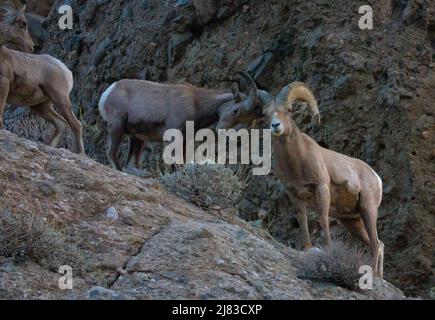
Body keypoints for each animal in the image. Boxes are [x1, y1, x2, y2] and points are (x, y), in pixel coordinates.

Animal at [0, 0, 84, 154]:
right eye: (23, 24)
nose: (31, 46)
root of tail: (65, 70)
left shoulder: (4, 83)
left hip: (60, 99)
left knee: (76, 124)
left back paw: (81, 154)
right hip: (41, 106)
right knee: (61, 124)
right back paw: (50, 147)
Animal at [98, 73, 258, 171]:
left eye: (247, 119)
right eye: (235, 110)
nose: (223, 130)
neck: (196, 103)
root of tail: (109, 91)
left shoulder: (185, 140)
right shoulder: (174, 135)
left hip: (137, 139)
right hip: (117, 127)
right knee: (111, 154)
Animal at [220, 75, 386, 278]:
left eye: (289, 110)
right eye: (266, 114)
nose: (276, 126)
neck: (296, 163)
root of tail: (375, 177)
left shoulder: (321, 188)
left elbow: (323, 219)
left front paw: (330, 250)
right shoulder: (294, 195)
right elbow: (303, 219)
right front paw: (307, 248)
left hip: (368, 209)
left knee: (376, 244)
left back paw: (374, 275)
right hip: (352, 221)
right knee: (378, 243)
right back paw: (378, 275)